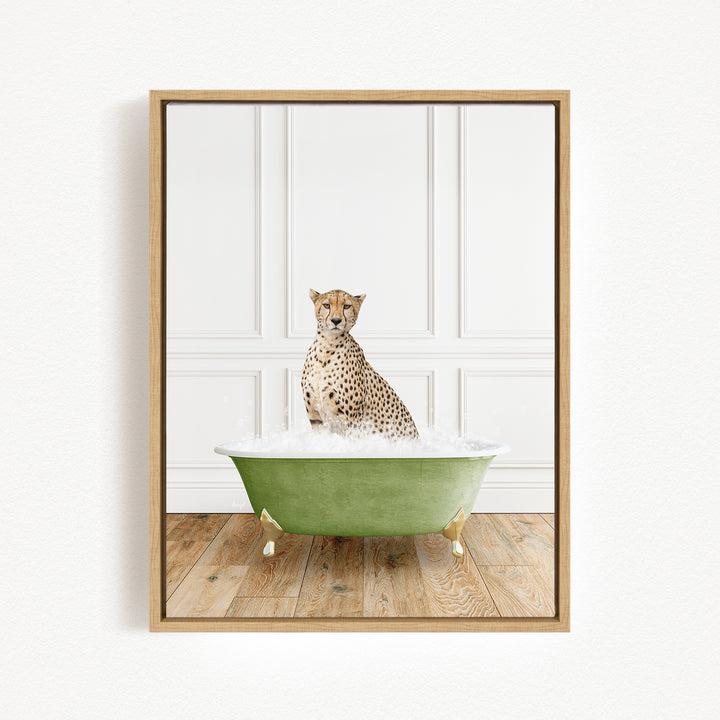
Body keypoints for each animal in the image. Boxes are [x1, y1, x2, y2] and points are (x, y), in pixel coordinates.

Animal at [301, 288, 419, 440]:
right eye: (327, 305)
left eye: (346, 306)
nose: (336, 320)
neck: (327, 345)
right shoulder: (316, 417)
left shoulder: (352, 420)